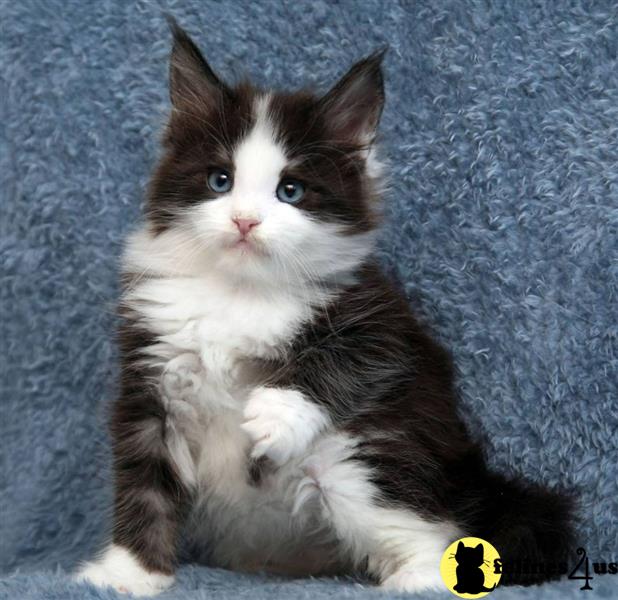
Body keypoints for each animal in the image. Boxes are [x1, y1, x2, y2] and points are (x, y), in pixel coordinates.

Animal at [74, 17, 572, 596]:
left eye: (290, 190)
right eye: (220, 181)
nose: (245, 221)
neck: (240, 290)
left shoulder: (387, 325)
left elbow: (343, 359)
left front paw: (273, 413)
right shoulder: (152, 381)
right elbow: (144, 486)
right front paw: (126, 574)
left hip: (359, 457)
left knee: (430, 526)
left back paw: (417, 579)